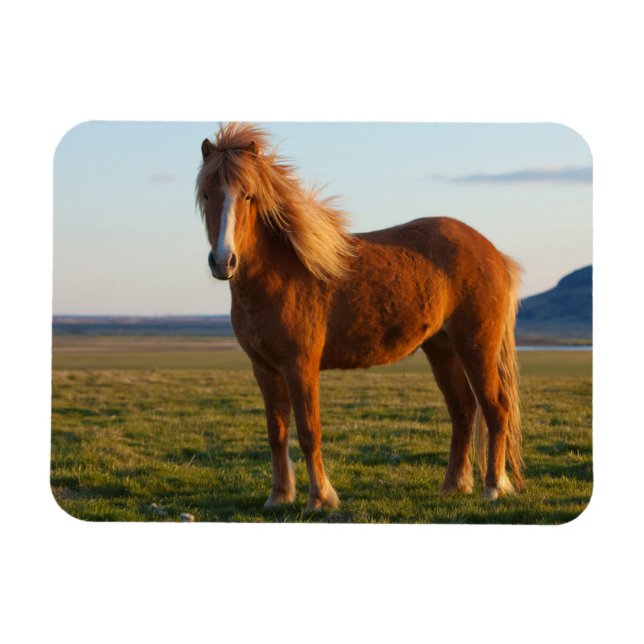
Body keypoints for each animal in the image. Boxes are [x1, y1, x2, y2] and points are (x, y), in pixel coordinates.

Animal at [196, 122, 523, 511]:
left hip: (477, 347)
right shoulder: (263, 369)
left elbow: (309, 431)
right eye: (206, 195)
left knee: (496, 409)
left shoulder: (300, 366)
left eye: (248, 196)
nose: (223, 261)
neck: (278, 274)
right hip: (442, 348)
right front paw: (278, 496)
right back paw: (454, 484)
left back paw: (494, 486)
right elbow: (277, 433)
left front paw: (320, 498)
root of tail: (492, 252)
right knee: (463, 410)